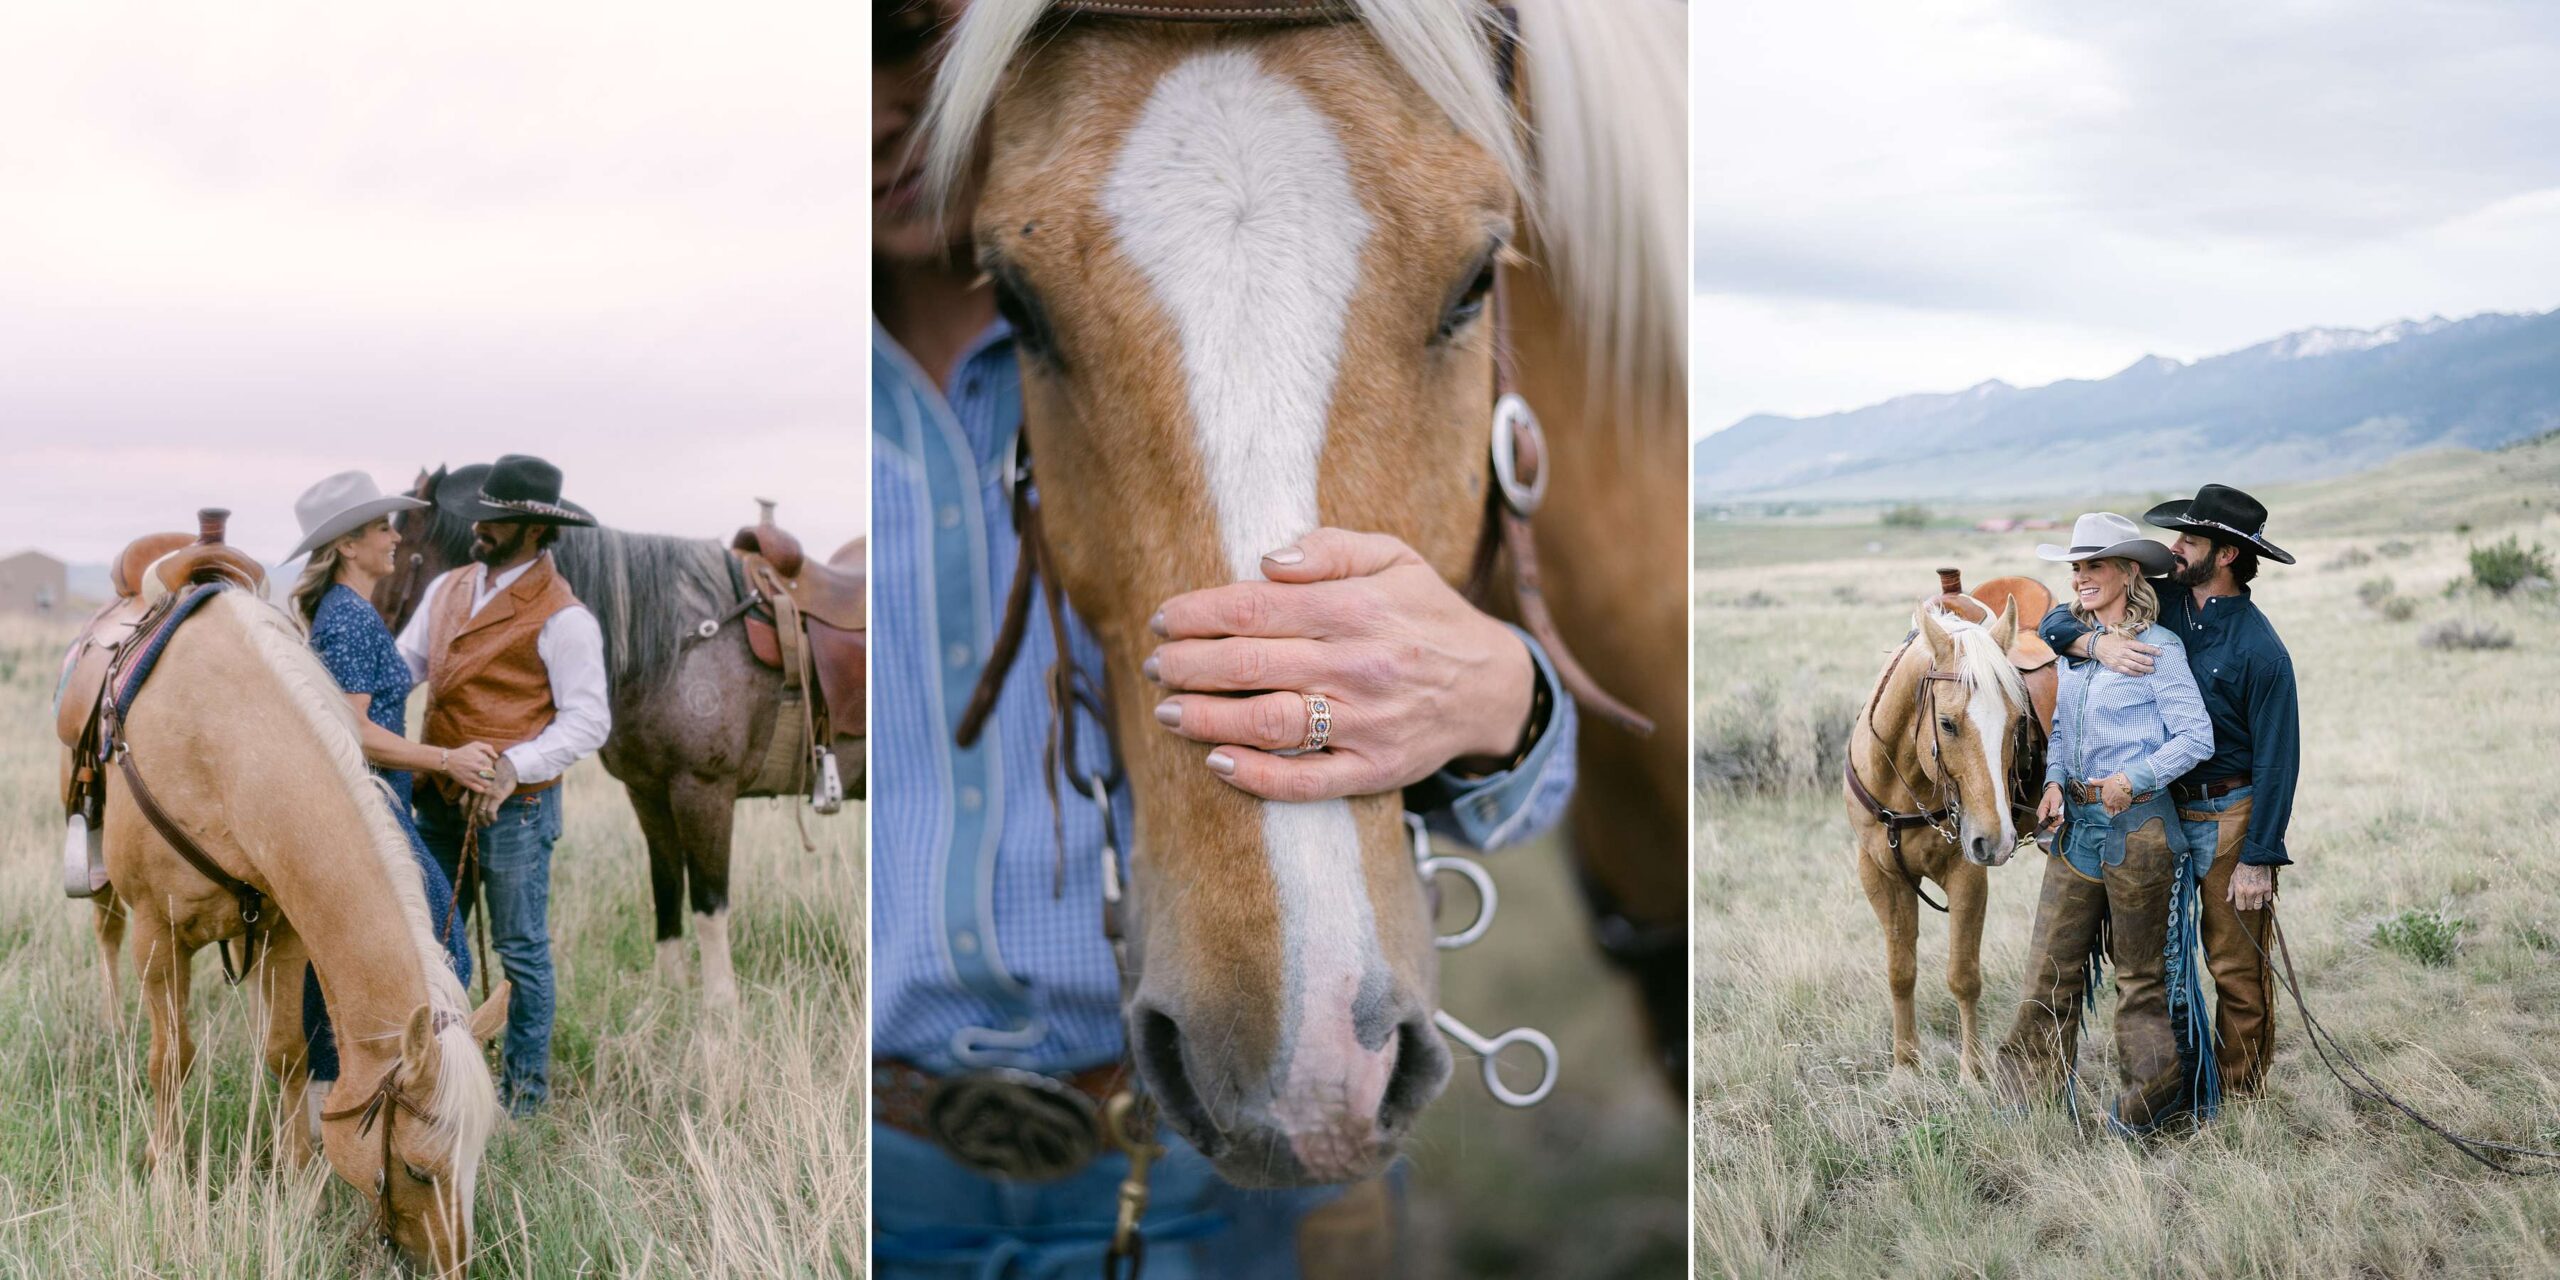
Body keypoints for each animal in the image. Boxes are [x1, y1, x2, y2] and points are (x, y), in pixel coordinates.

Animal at [63, 538, 507, 1276]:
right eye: (418, 1170)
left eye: (477, 1157)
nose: (451, 1267)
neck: (221, 749)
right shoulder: (159, 932)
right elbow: (171, 1058)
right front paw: (164, 1168)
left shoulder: (285, 931)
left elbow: (288, 1054)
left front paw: (297, 1178)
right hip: (105, 886)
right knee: (105, 937)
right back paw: (114, 1030)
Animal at [379, 472, 863, 1009]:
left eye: (401, 552)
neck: (679, 642)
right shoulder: (648, 793)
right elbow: (667, 889)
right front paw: (667, 994)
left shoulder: (705, 791)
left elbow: (709, 901)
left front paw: (720, 1008)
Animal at [1843, 580, 2049, 1079]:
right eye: (1947, 723)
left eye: (2018, 721)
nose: (1996, 841)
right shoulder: (1880, 875)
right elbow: (1900, 972)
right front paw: (1905, 1067)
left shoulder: (1967, 875)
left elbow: (1964, 976)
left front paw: (1971, 1072)